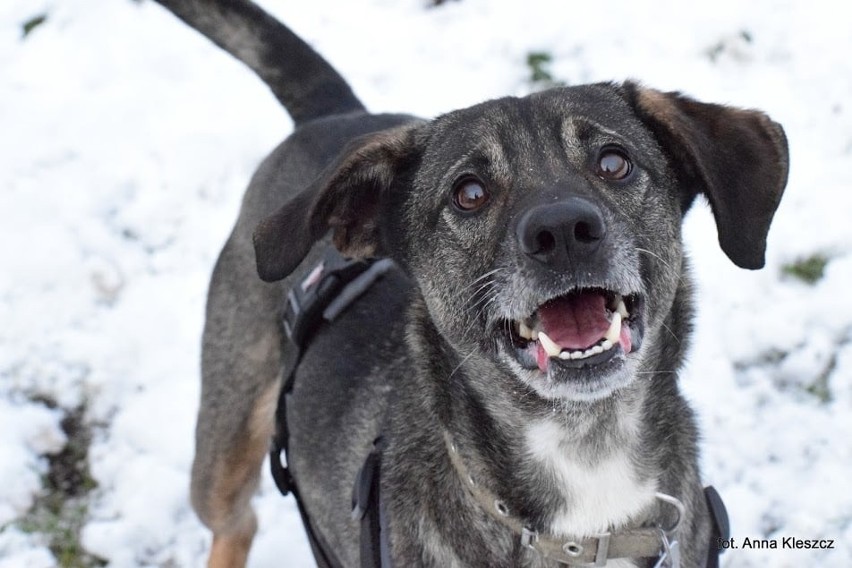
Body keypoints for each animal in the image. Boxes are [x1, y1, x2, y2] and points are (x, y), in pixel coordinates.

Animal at [151, 2, 784, 564]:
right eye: (469, 192)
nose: (563, 231)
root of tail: (332, 117)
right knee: (235, 519)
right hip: (223, 447)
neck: (585, 456)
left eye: (614, 162)